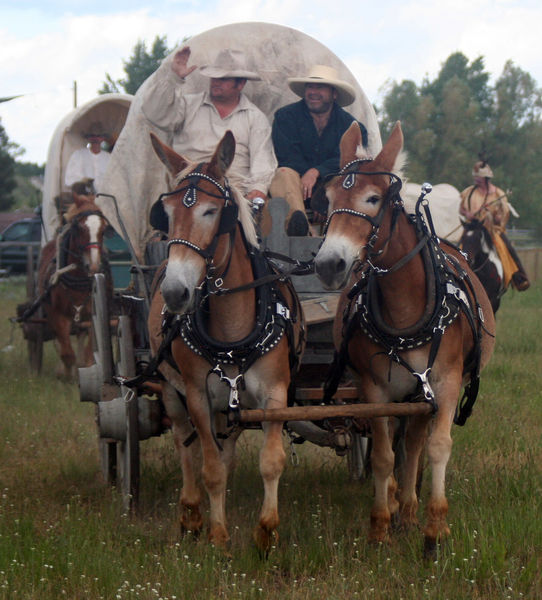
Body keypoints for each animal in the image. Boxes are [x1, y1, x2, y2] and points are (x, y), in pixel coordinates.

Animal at [37, 184, 110, 380]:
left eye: (104, 228)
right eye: (79, 227)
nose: (94, 265)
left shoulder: (93, 315)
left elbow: (90, 353)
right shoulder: (57, 315)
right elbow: (66, 352)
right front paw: (68, 376)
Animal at [144, 130, 306, 552]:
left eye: (211, 211)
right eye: (165, 213)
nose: (175, 292)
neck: (233, 331)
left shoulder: (275, 393)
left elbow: (270, 460)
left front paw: (266, 531)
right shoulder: (198, 396)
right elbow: (211, 468)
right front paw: (218, 534)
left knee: (225, 446)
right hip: (172, 390)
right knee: (186, 446)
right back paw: (191, 512)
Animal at [314, 122, 498, 556]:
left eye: (372, 198)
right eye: (328, 198)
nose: (330, 263)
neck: (406, 308)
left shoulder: (445, 384)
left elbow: (437, 446)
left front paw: (435, 529)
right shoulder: (376, 389)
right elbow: (383, 455)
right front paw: (380, 524)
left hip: (422, 391)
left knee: (414, 444)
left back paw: (413, 509)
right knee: (403, 443)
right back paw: (401, 505)